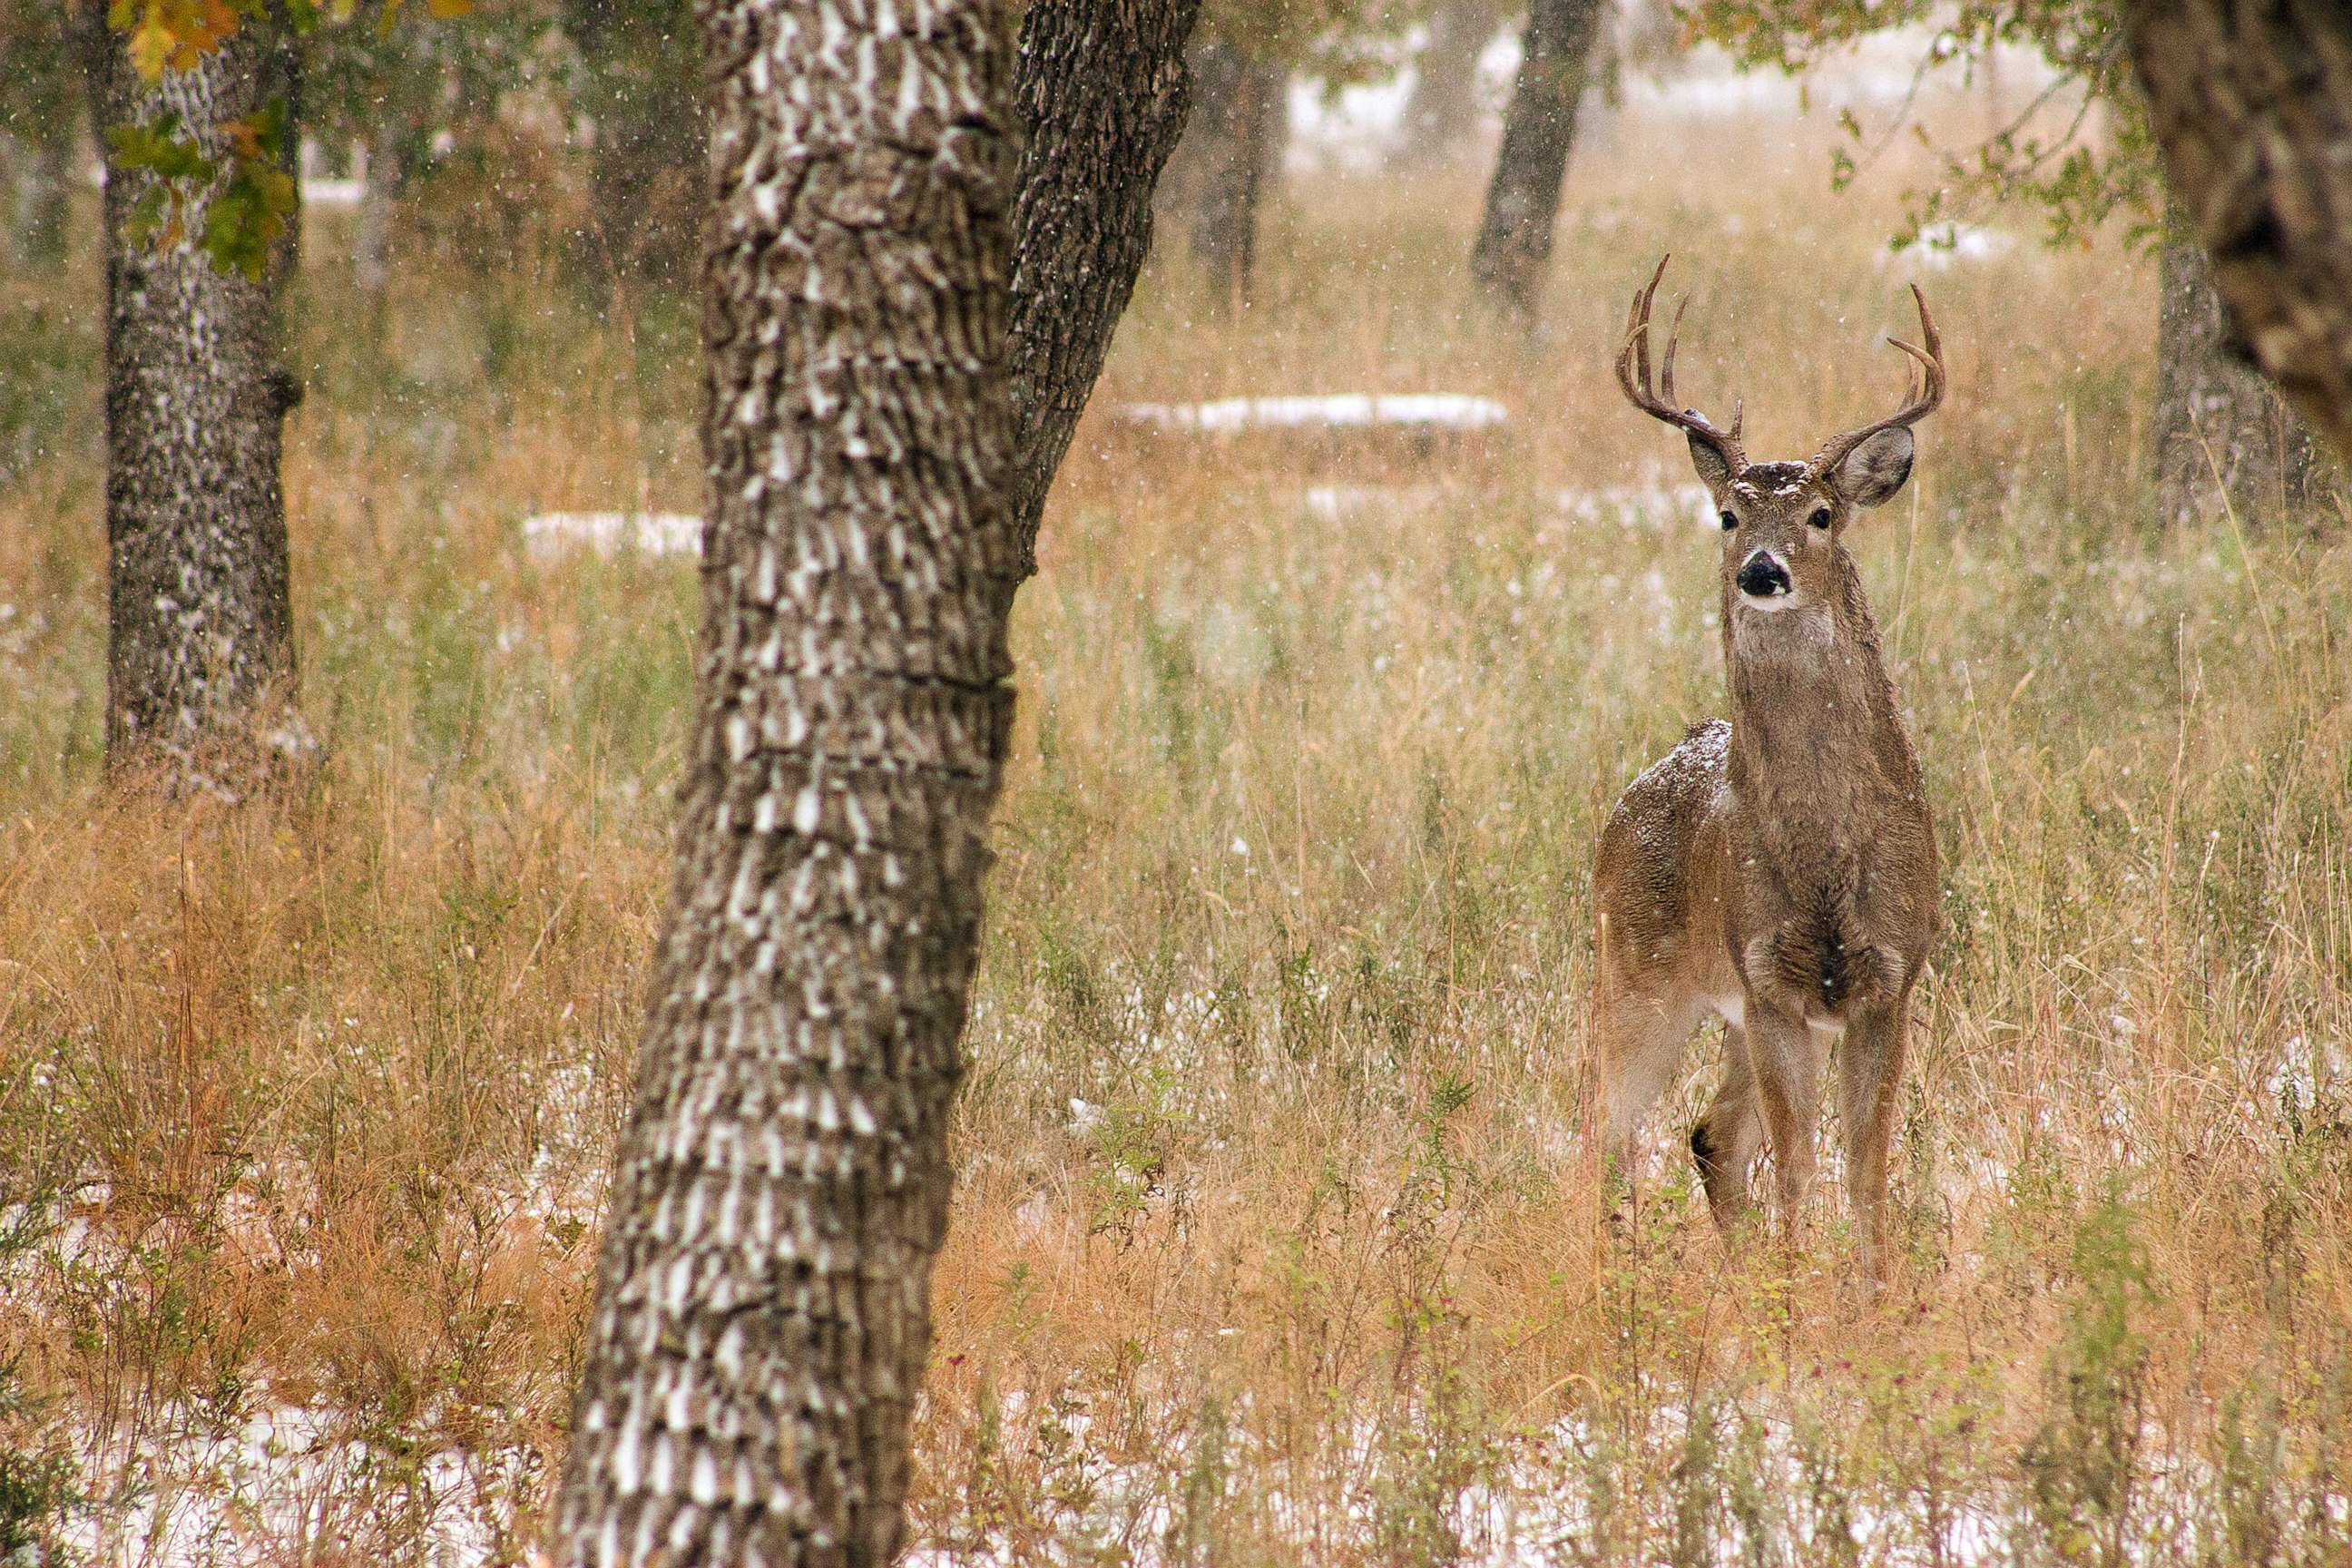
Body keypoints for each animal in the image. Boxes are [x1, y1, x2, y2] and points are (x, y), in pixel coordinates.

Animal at [1599, 255, 1947, 1288]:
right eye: (1727, 513)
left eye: (1822, 514)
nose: (1760, 569)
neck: (1828, 863)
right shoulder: (1768, 979)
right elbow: (1799, 1165)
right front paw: (1804, 1301)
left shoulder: (1892, 976)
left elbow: (1864, 1169)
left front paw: (1870, 1295)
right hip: (1639, 971)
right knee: (1608, 1133)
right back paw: (1614, 1280)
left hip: (1718, 1008)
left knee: (1710, 1135)